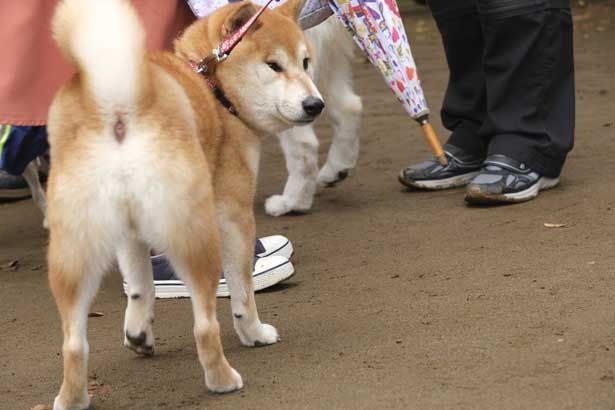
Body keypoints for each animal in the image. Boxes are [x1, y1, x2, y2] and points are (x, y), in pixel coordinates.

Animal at [45, 0, 322, 406]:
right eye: (274, 65)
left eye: (305, 62)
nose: (315, 104)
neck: (213, 88)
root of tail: (118, 107)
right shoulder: (234, 213)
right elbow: (243, 291)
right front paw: (255, 333)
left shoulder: (131, 232)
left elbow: (140, 285)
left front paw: (138, 334)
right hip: (197, 236)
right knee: (205, 326)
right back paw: (223, 379)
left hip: (74, 252)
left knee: (73, 343)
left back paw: (72, 399)